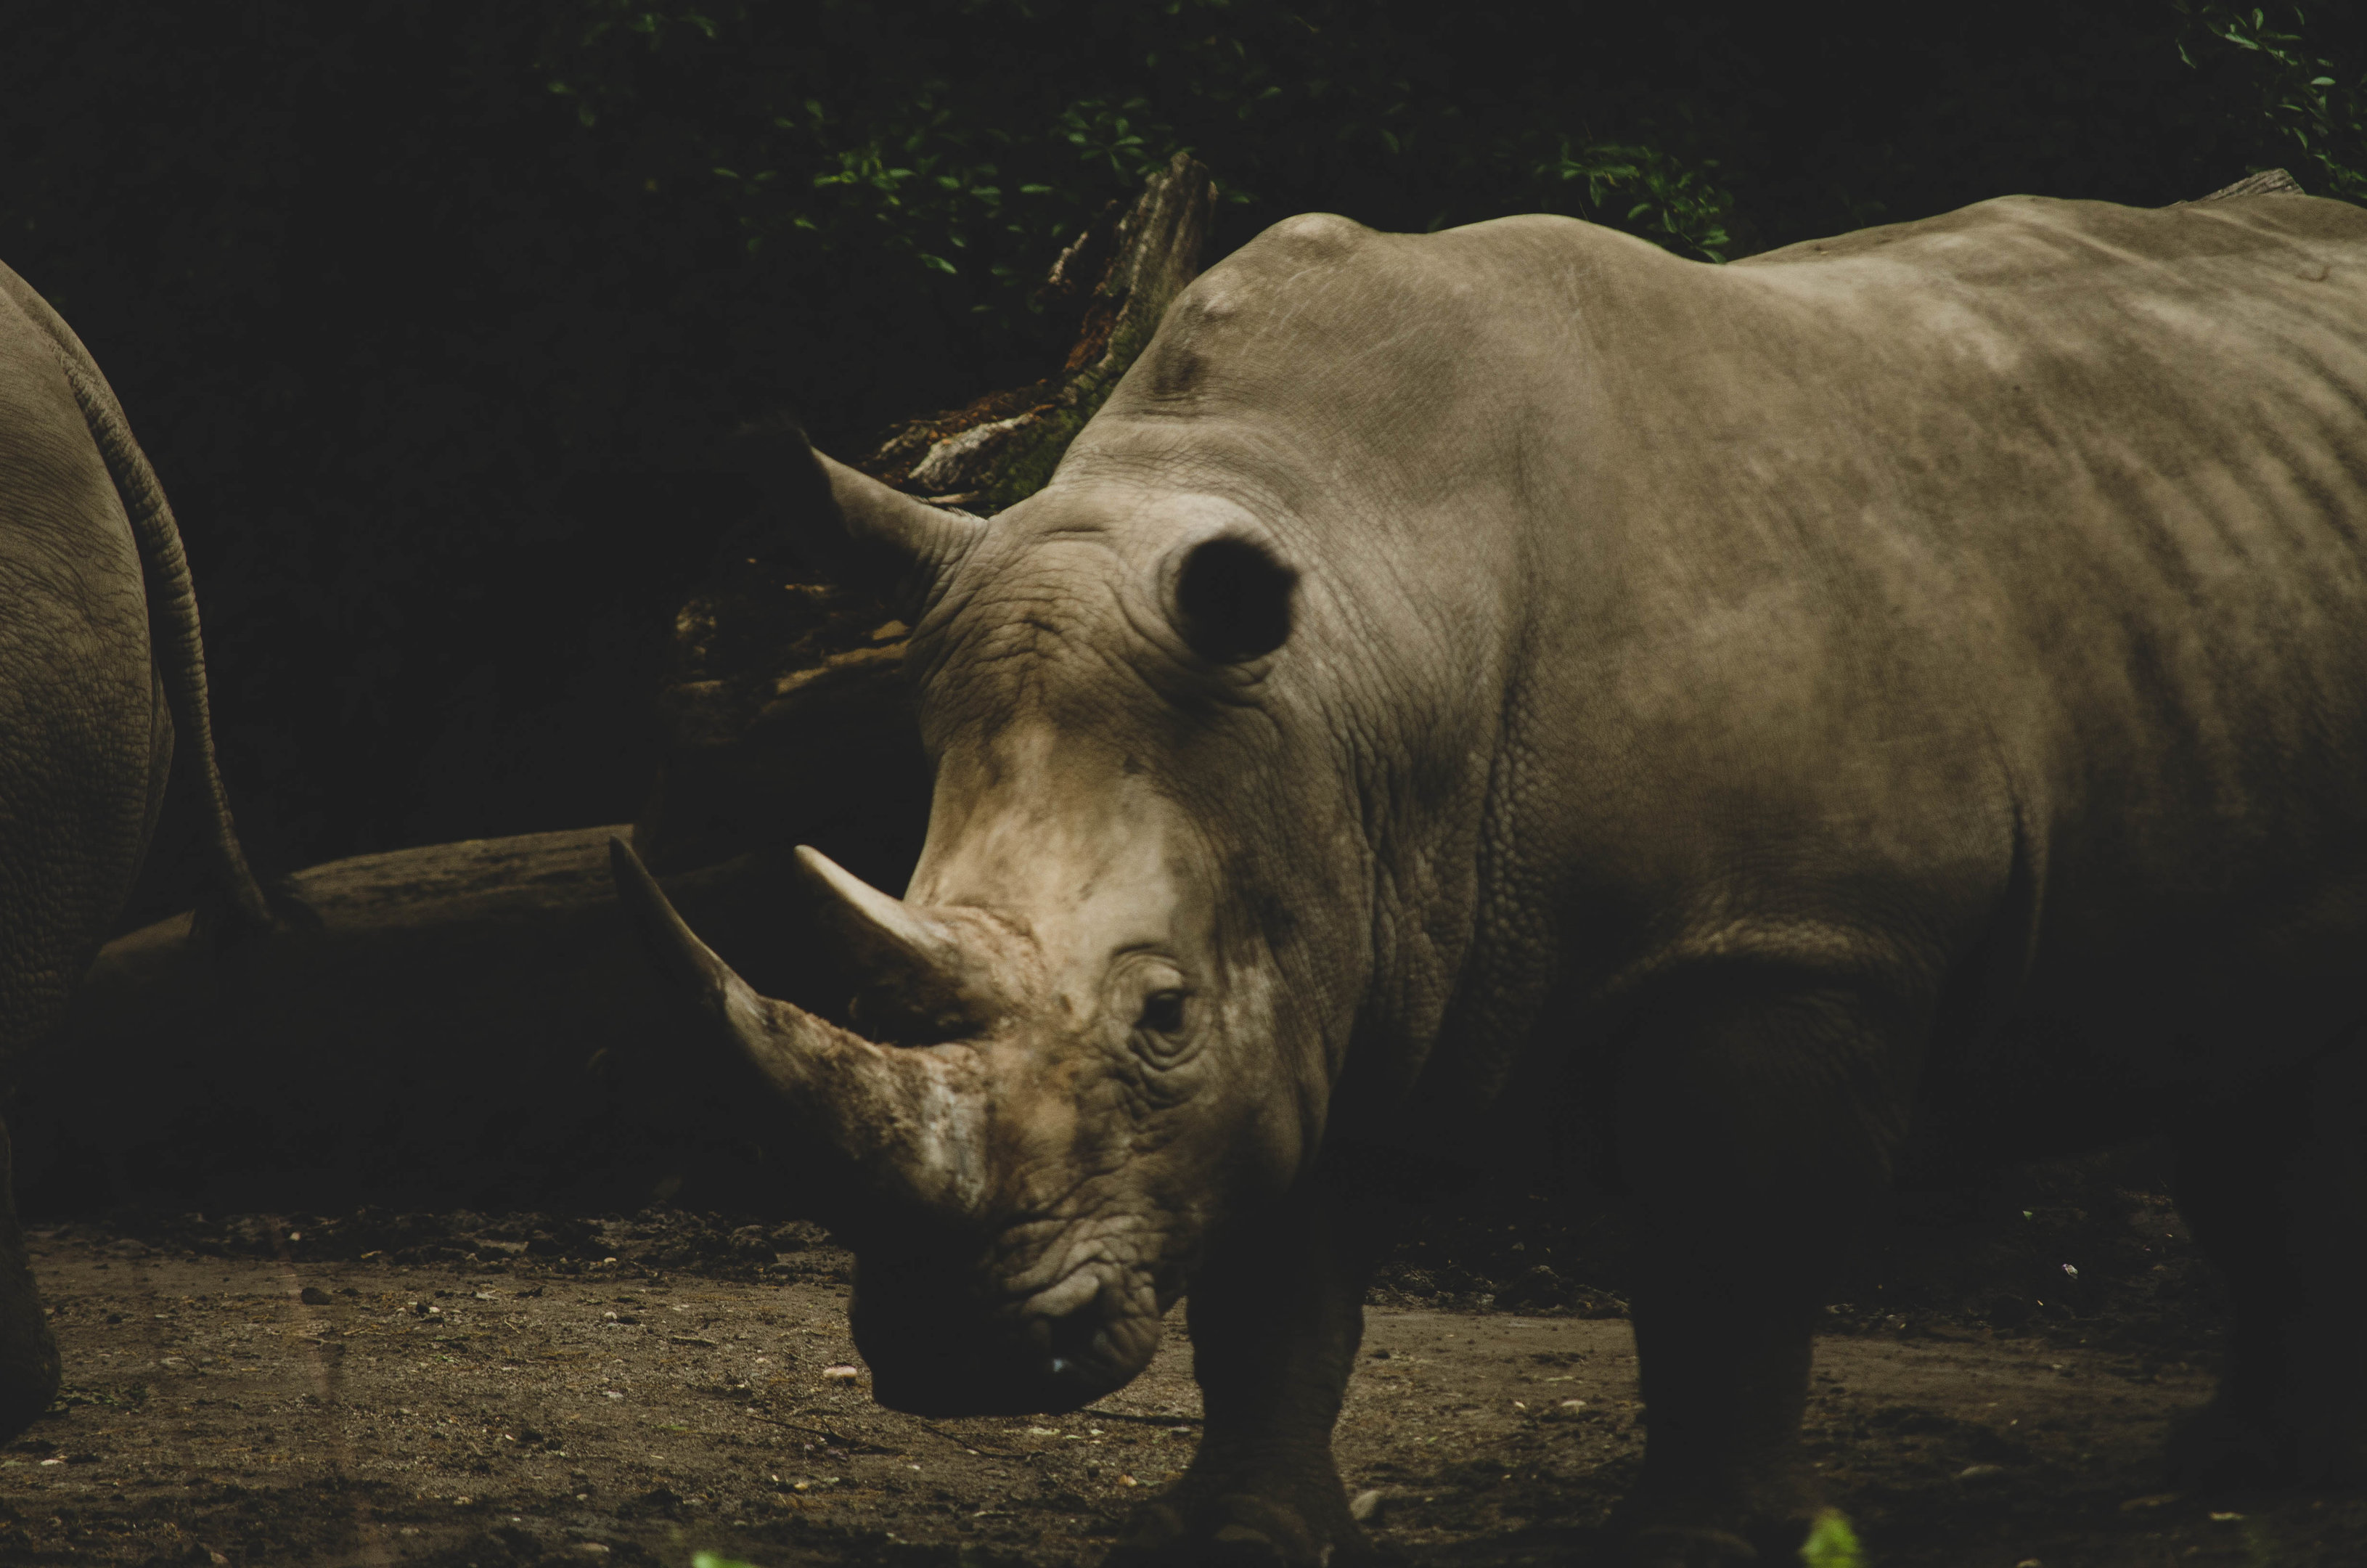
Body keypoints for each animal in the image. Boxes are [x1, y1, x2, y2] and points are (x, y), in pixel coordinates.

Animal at [612, 188, 2367, 1565]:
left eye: (1160, 1017)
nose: (951, 1355)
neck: (1360, 650)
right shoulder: (1323, 919)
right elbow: (1277, 1277)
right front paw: (1234, 1535)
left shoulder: (1792, 939)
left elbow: (1732, 1256)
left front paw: (1697, 1543)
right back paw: (2230, 1463)